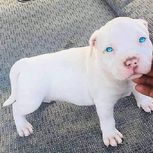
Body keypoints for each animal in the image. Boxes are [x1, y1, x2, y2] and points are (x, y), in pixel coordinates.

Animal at [2, 17, 153, 147]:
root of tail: (25, 63)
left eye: (142, 39)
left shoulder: (135, 81)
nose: (131, 61)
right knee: (16, 108)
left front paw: (146, 102)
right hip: (31, 100)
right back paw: (23, 126)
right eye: (109, 49)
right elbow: (108, 120)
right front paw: (111, 135)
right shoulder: (103, 104)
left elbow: (139, 92)